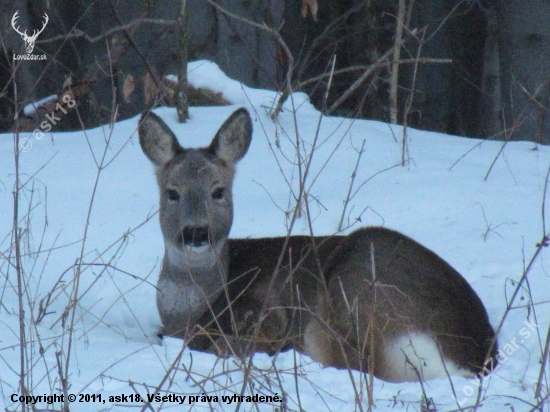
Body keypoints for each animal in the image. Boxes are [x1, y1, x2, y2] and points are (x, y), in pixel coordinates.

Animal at [139, 108, 500, 382]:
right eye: (172, 192)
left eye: (218, 191)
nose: (196, 233)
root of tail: (472, 357)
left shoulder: (268, 308)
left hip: (359, 290)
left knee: (360, 363)